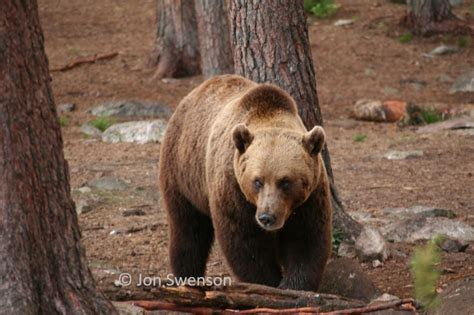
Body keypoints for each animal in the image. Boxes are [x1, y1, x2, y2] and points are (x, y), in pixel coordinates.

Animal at [159, 74, 330, 292]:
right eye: (257, 181)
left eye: (285, 182)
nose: (267, 217)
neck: (270, 117)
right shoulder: (233, 188)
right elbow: (245, 242)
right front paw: (267, 283)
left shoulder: (310, 197)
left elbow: (306, 239)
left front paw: (293, 285)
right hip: (183, 174)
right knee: (188, 229)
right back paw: (189, 277)